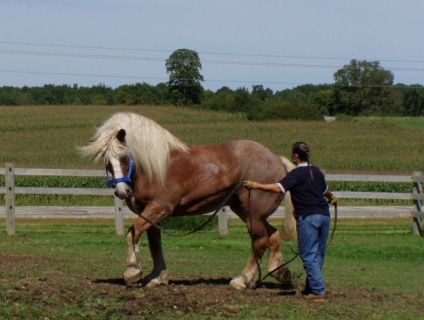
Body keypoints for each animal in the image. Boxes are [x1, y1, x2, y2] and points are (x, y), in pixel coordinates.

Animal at [80, 112, 298, 290]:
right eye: (107, 161)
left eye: (125, 157)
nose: (122, 191)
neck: (155, 168)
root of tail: (276, 159)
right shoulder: (150, 214)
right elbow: (154, 243)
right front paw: (157, 277)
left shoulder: (159, 208)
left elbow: (133, 233)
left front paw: (133, 272)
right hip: (247, 212)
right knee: (273, 235)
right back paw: (279, 273)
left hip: (253, 213)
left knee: (260, 240)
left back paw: (242, 280)